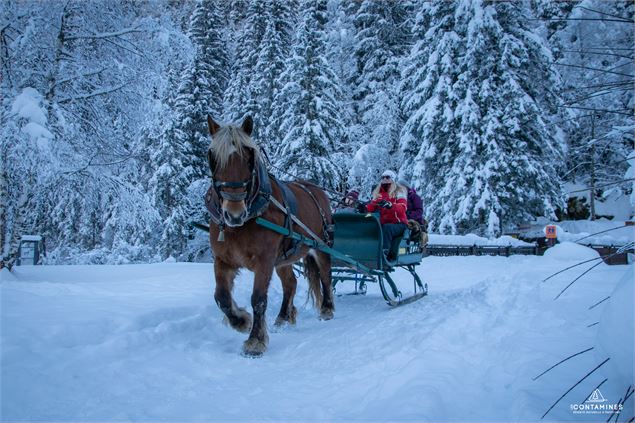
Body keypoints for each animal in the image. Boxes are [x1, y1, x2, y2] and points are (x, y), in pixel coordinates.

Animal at [206, 114, 338, 356]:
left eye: (249, 157)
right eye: (213, 157)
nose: (234, 214)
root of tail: (316, 189)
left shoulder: (264, 260)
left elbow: (258, 299)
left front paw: (255, 341)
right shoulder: (222, 260)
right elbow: (221, 298)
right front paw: (241, 321)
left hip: (321, 246)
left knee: (325, 275)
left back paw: (327, 309)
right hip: (284, 258)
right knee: (291, 283)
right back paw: (283, 317)